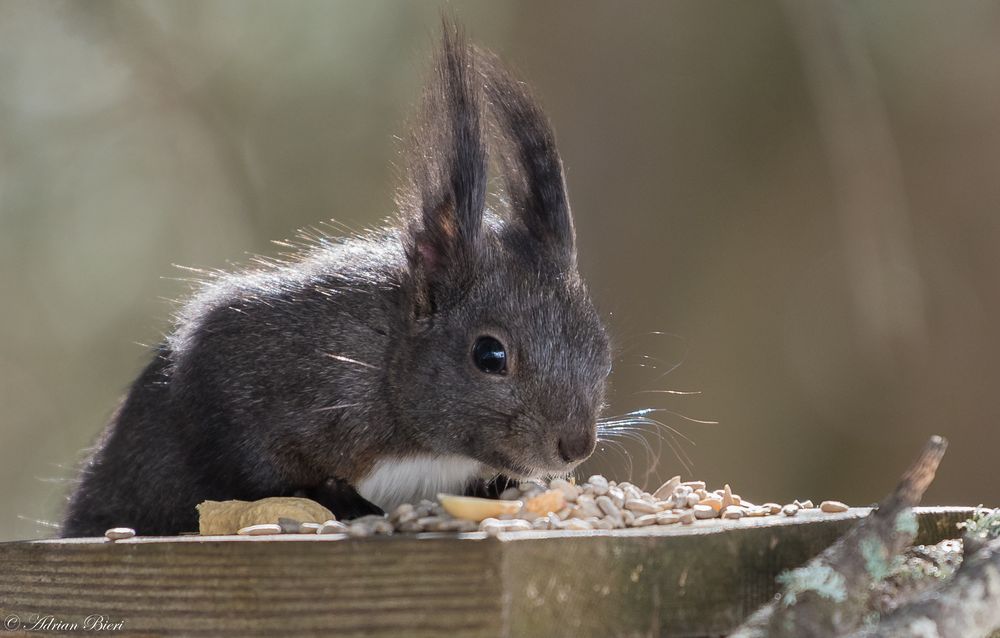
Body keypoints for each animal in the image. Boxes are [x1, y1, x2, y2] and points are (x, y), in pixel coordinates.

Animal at [62, 22, 612, 536]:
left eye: (603, 351)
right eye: (489, 355)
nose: (576, 446)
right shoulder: (244, 369)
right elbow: (254, 462)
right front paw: (339, 499)